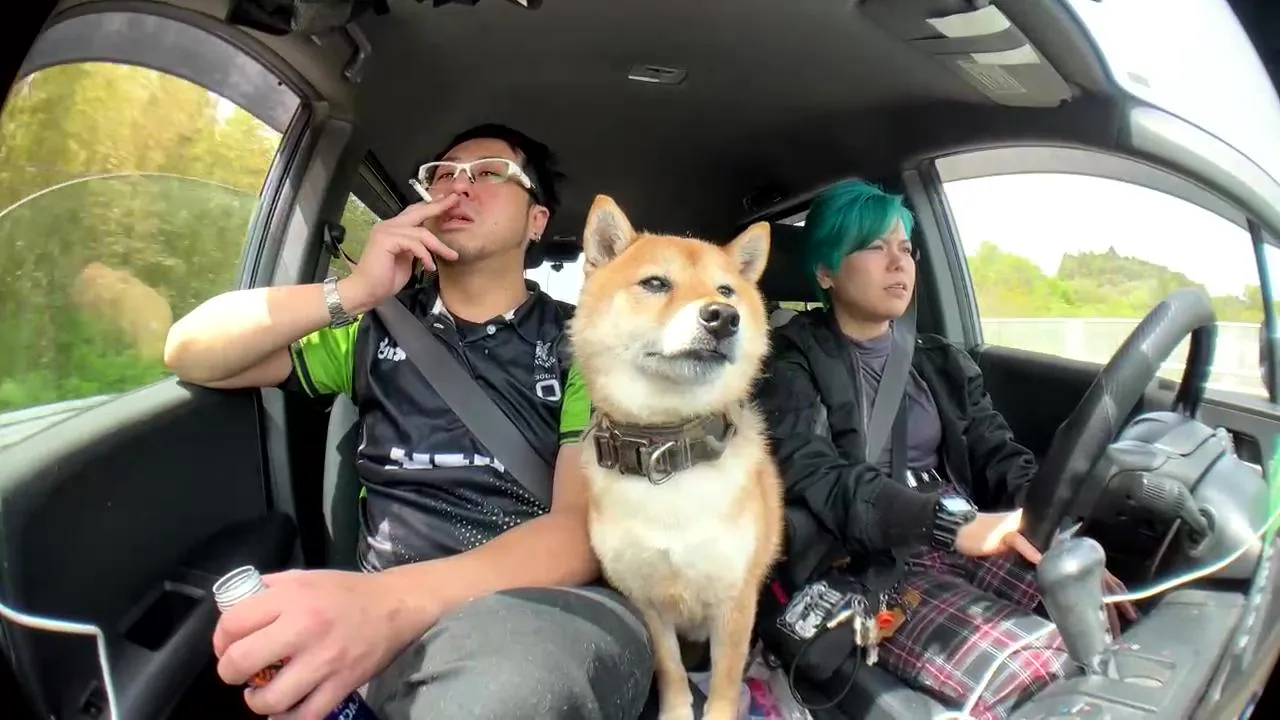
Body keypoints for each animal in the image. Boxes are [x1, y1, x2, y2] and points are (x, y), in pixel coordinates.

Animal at [569, 195, 785, 720]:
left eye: (726, 290)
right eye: (654, 284)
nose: (724, 316)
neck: (668, 448)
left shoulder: (734, 601)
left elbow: (725, 682)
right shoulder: (646, 599)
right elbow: (668, 668)